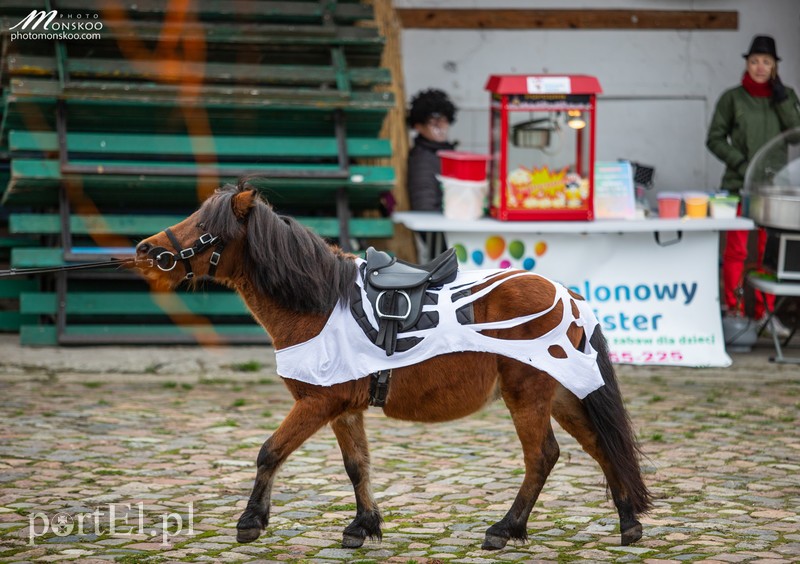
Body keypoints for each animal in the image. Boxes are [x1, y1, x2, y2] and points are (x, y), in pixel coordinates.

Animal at [134, 181, 652, 551]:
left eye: (206, 227)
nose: (145, 250)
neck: (320, 302)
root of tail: (570, 296)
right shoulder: (343, 409)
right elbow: (356, 466)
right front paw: (362, 526)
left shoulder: (317, 403)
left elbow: (270, 452)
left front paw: (250, 521)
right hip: (561, 393)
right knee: (602, 446)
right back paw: (628, 523)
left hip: (528, 395)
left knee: (542, 456)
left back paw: (504, 529)